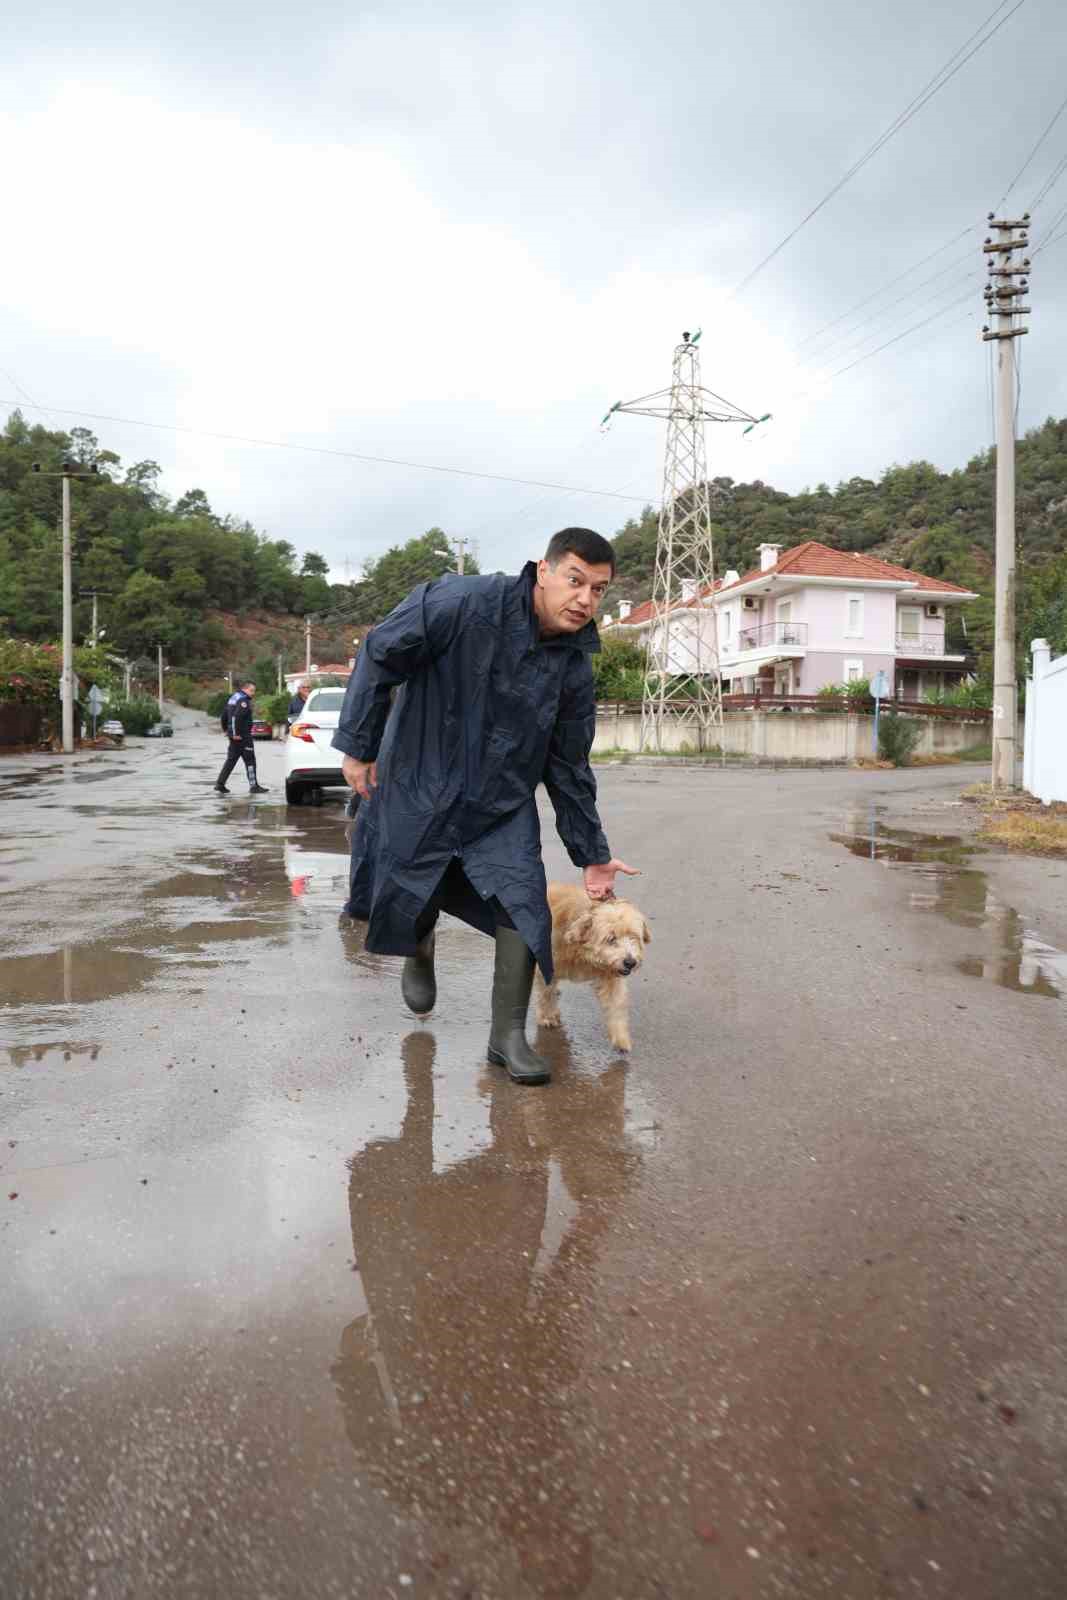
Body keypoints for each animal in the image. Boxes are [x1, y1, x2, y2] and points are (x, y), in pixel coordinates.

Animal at [534, 889, 652, 1049]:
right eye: (611, 939)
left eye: (633, 937)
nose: (630, 962)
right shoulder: (547, 967)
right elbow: (546, 993)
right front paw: (548, 1016)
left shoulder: (610, 975)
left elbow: (616, 1002)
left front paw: (620, 1036)